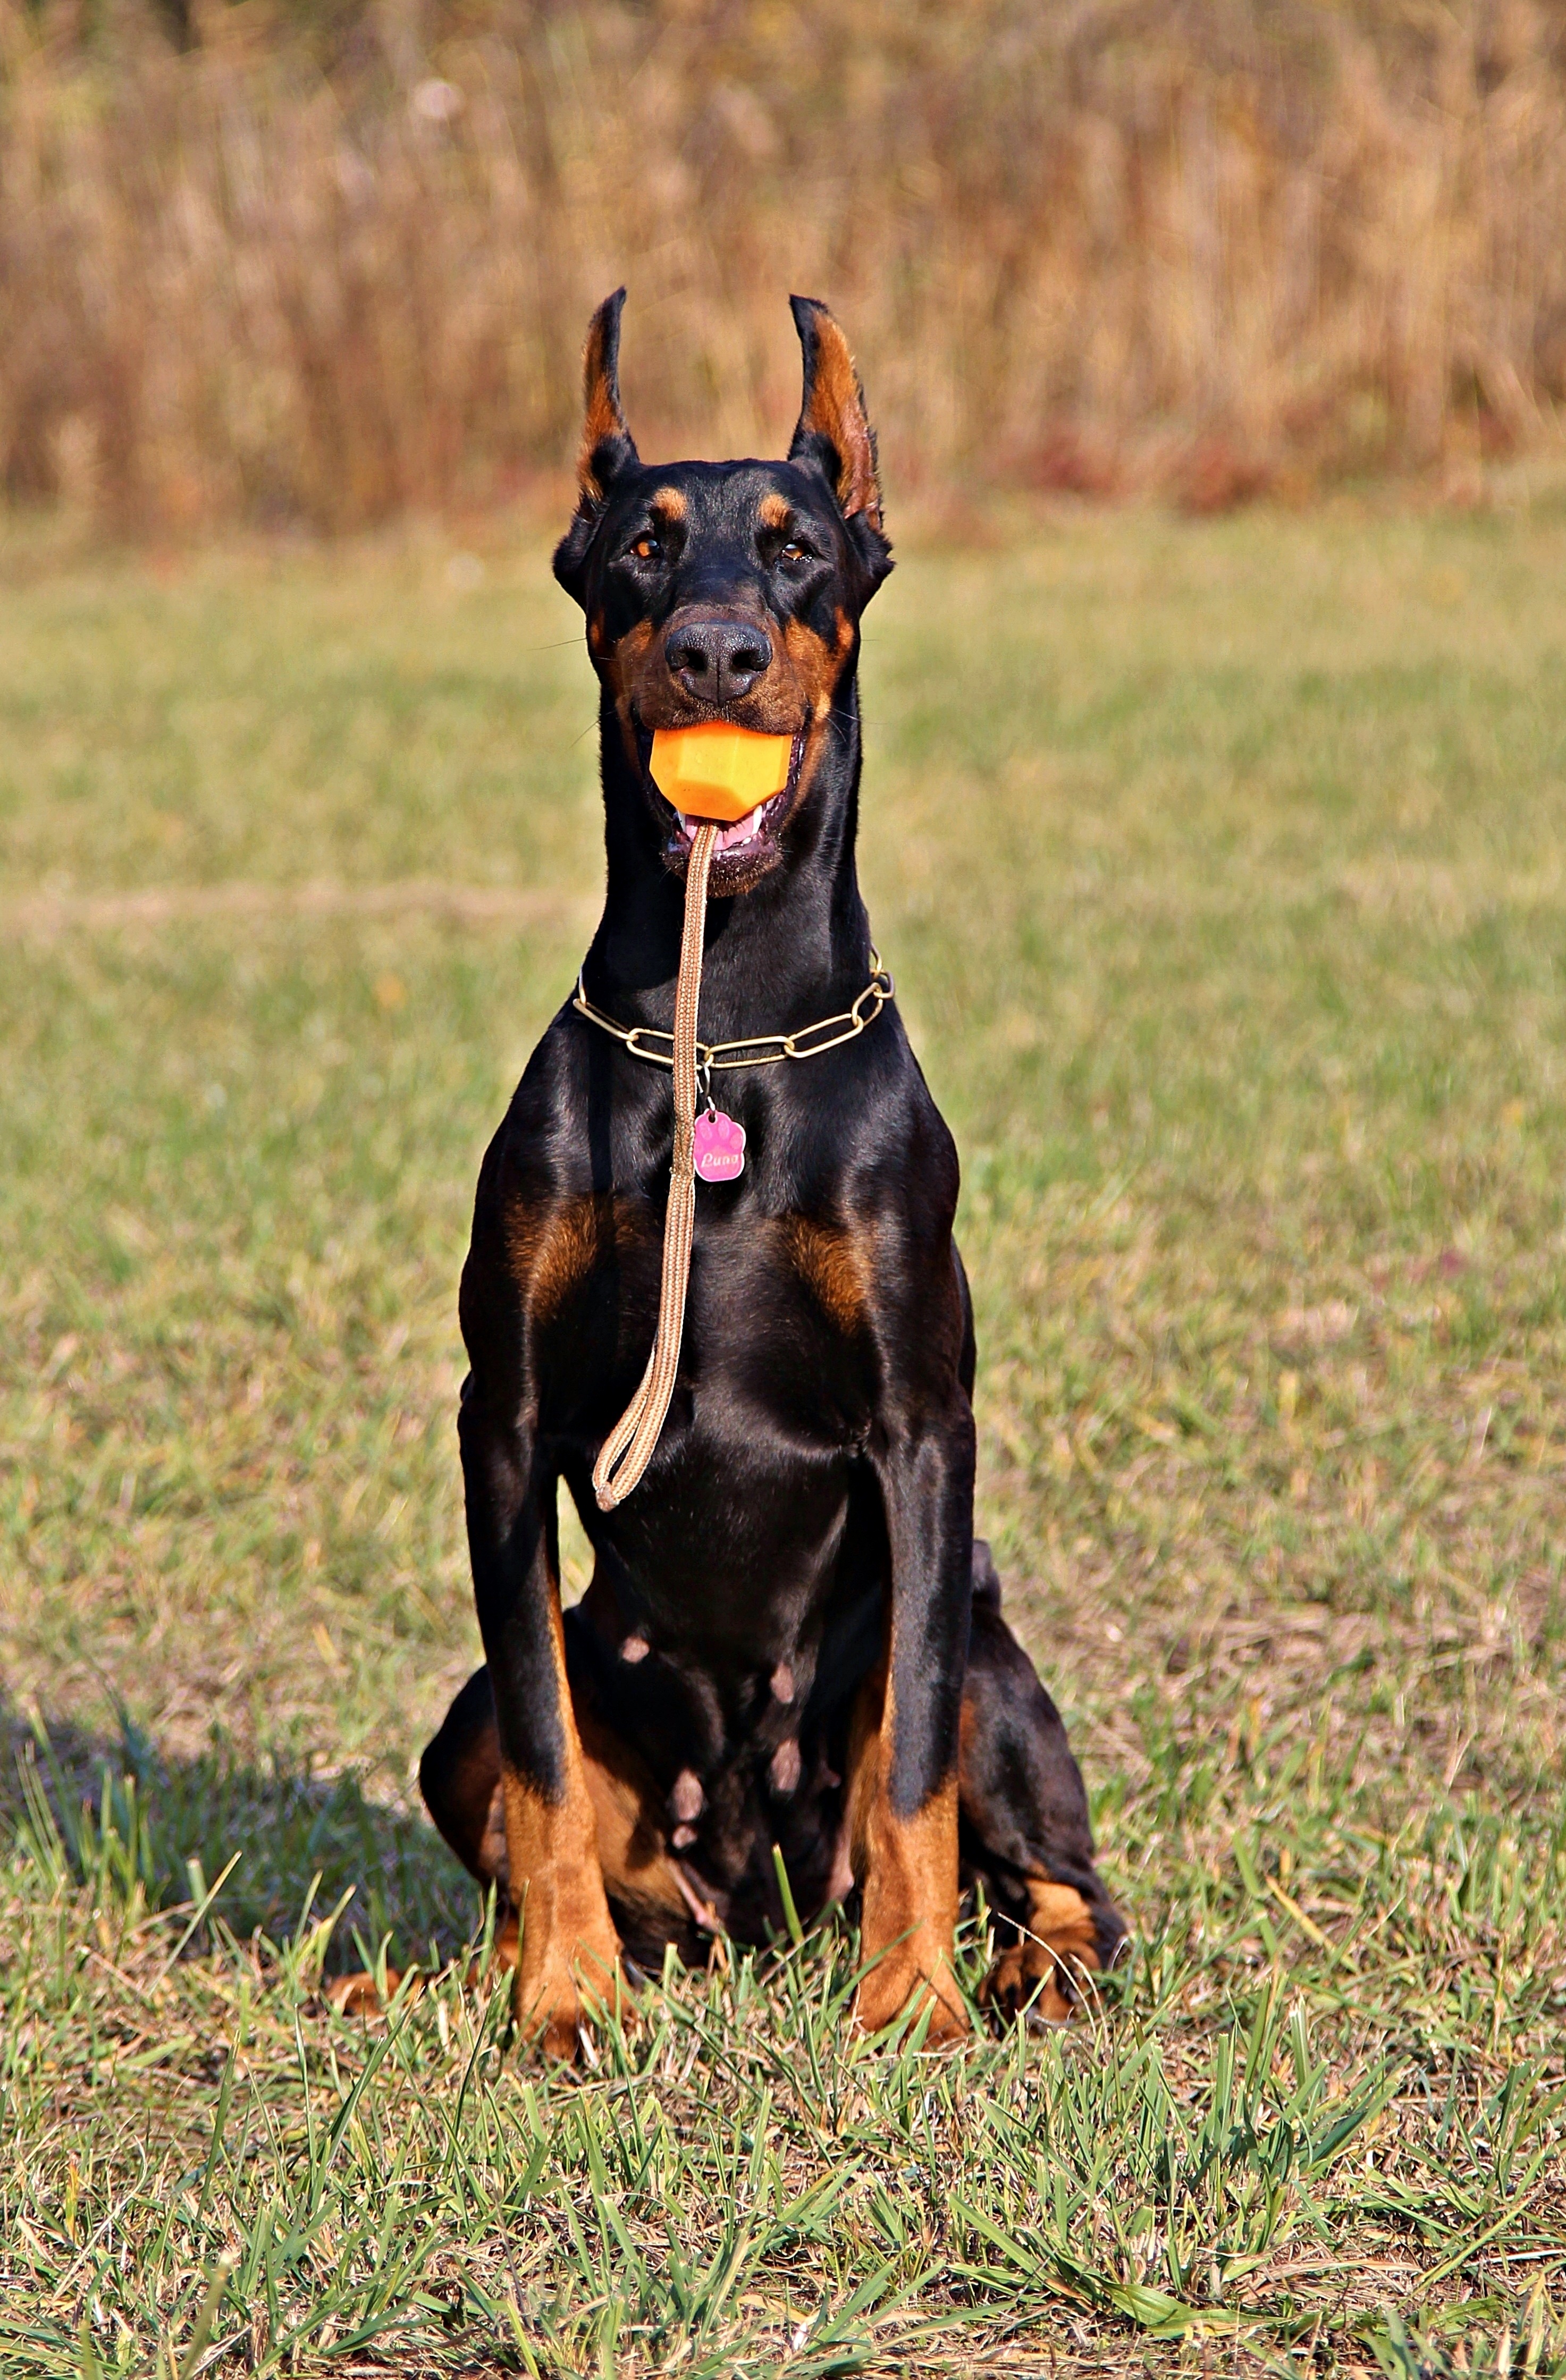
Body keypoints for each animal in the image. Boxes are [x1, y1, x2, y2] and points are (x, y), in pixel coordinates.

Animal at [414, 288, 1123, 2056]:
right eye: (643, 546)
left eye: (799, 548)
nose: (719, 652)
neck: (722, 1031)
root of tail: (759, 1894)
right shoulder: (503, 1423)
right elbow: (540, 1744)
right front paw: (564, 1996)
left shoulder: (923, 1428)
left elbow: (917, 1757)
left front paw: (915, 1999)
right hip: (481, 1737)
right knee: (526, 1780)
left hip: (990, 1651)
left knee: (1054, 1864)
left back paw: (1018, 1968)